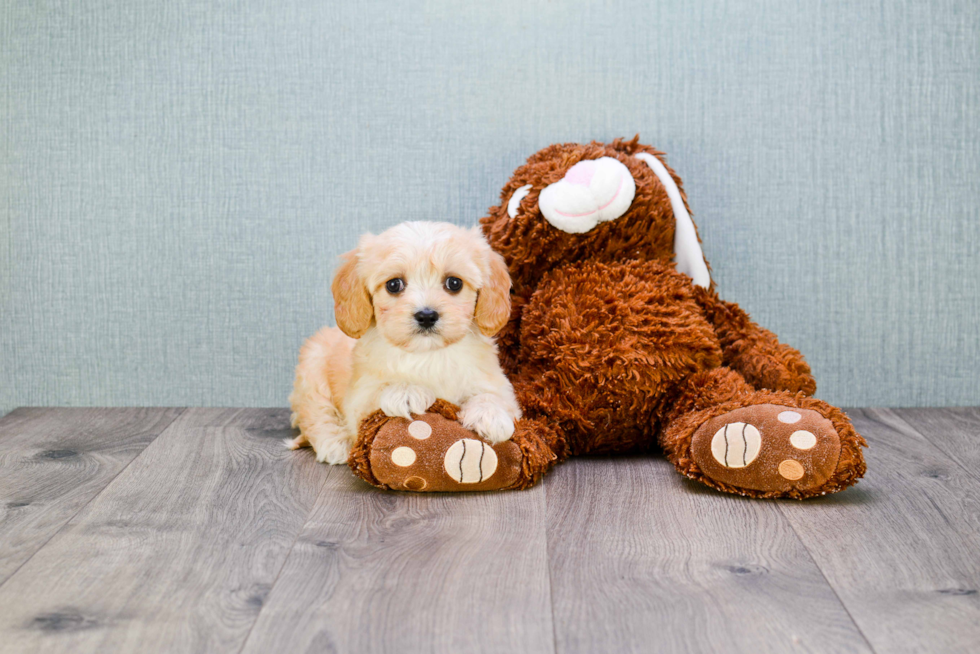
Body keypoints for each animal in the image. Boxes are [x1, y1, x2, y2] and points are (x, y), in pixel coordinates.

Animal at [288, 222, 524, 466]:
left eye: (454, 283)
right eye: (394, 285)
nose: (427, 316)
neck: (428, 354)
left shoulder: (498, 384)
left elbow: (493, 395)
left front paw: (491, 416)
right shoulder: (358, 399)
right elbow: (378, 391)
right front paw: (406, 392)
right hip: (312, 370)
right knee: (316, 413)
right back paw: (334, 443)